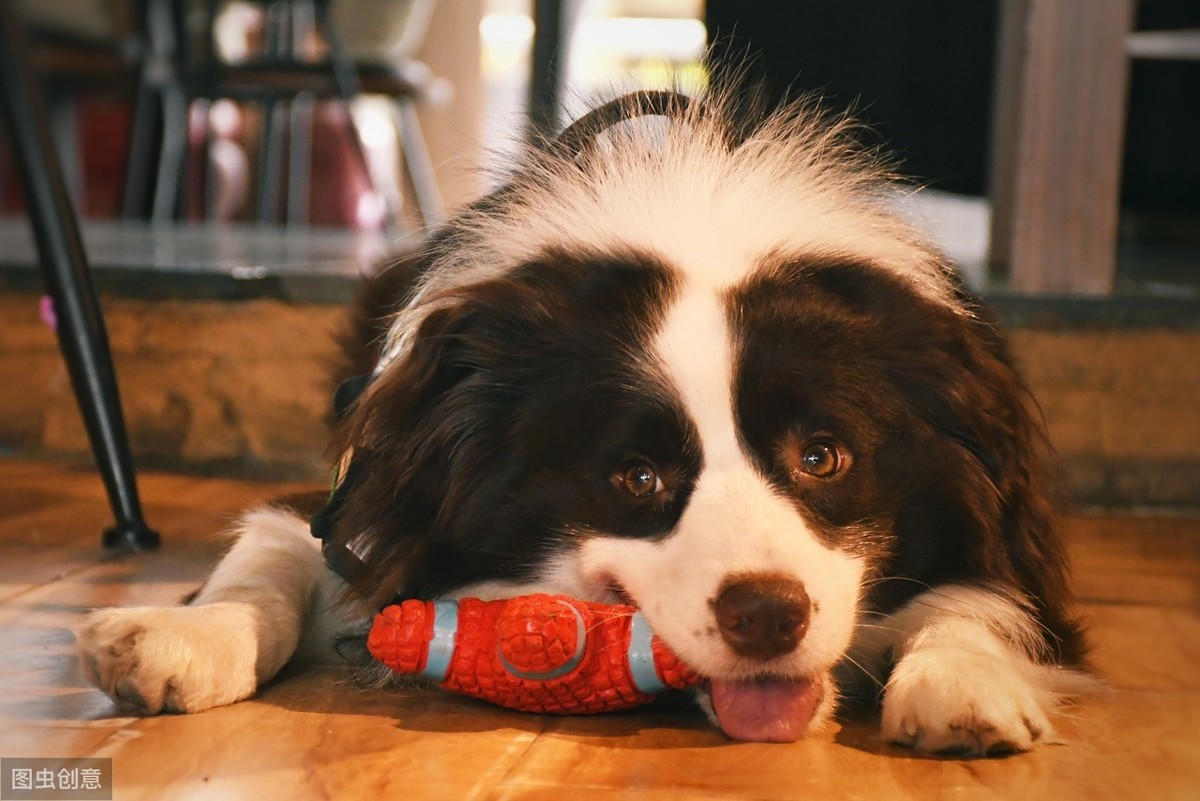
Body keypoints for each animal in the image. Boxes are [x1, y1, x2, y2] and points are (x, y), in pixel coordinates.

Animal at [75, 90, 1094, 753]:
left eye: (823, 455)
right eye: (636, 477)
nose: (768, 615)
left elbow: (986, 600)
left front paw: (963, 684)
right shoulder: (357, 487)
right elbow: (275, 549)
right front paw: (175, 639)